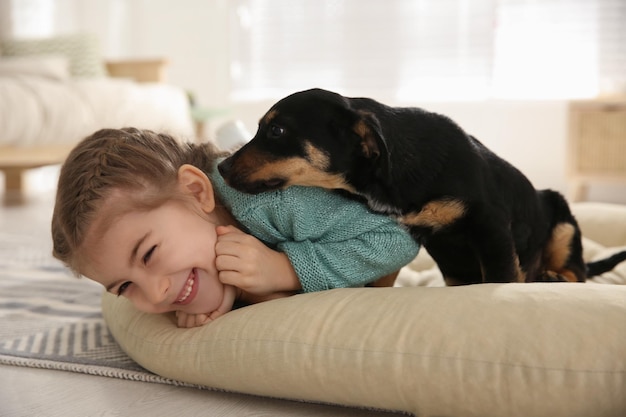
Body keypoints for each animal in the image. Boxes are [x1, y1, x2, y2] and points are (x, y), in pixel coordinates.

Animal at [218, 87, 624, 282]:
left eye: (276, 130)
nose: (220, 168)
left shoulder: (490, 225)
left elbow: (501, 277)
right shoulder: (422, 240)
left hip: (562, 222)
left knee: (577, 272)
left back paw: (554, 277)